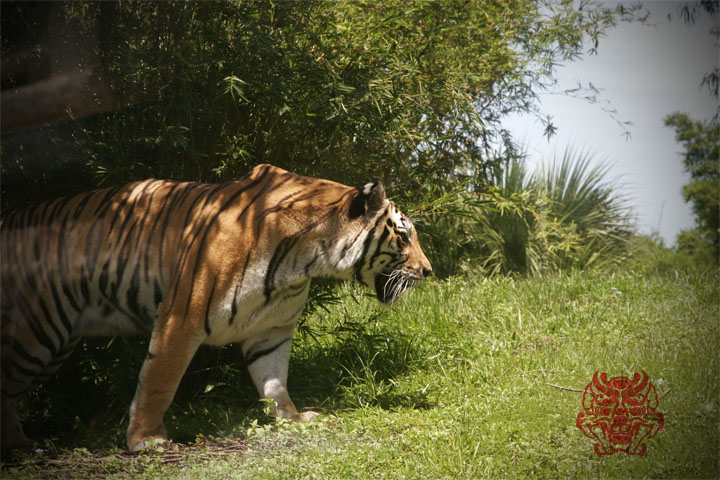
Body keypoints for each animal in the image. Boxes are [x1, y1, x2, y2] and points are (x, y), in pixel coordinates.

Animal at [0, 164, 431, 451]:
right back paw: (18, 446)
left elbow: (274, 380)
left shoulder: (272, 329)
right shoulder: (180, 318)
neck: (307, 258)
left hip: (57, 345)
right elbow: (159, 381)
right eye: (404, 236)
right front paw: (146, 439)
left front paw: (292, 419)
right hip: (35, 333)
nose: (428, 271)